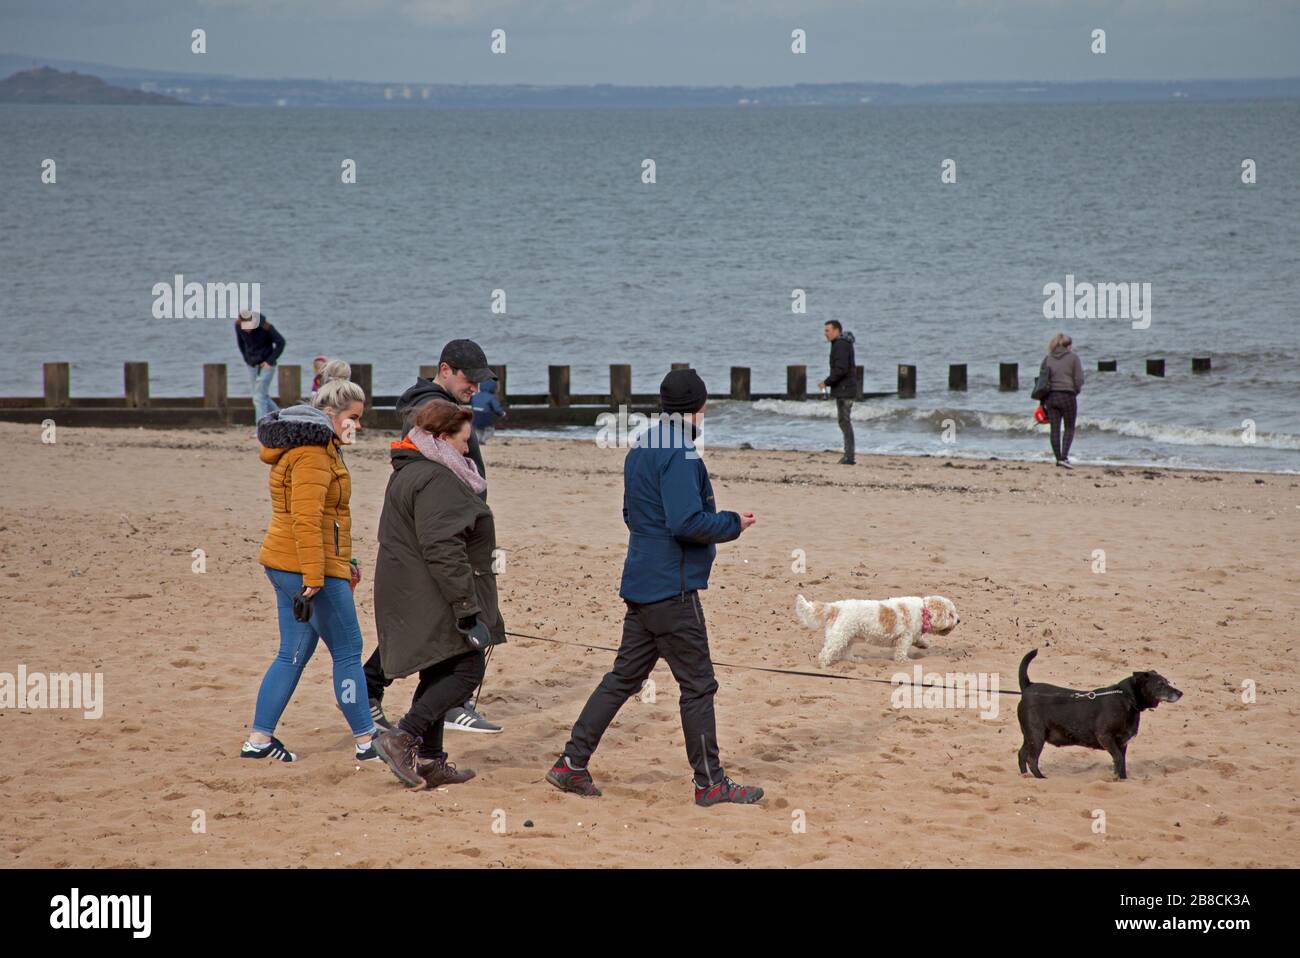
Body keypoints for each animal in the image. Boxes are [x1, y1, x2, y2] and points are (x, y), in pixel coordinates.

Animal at [785, 590, 961, 665]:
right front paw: (905, 661)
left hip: (847, 637)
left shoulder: (912, 634)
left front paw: (923, 644)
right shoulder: (905, 637)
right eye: (951, 614)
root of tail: (836, 607)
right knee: (826, 652)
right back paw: (823, 664)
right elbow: (902, 651)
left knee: (845, 652)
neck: (922, 611)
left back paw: (854, 660)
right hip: (839, 637)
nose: (959, 620)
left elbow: (919, 639)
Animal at [1019, 647, 1185, 779]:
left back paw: (1025, 775)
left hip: (1030, 736)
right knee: (1031, 759)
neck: (1126, 698)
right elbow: (1118, 759)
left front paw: (1122, 780)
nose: (1180, 693)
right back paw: (1041, 778)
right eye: (1160, 684)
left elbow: (1121, 764)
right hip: (1037, 735)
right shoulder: (1105, 737)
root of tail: (1028, 687)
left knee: (1021, 754)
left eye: (1167, 681)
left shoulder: (1122, 743)